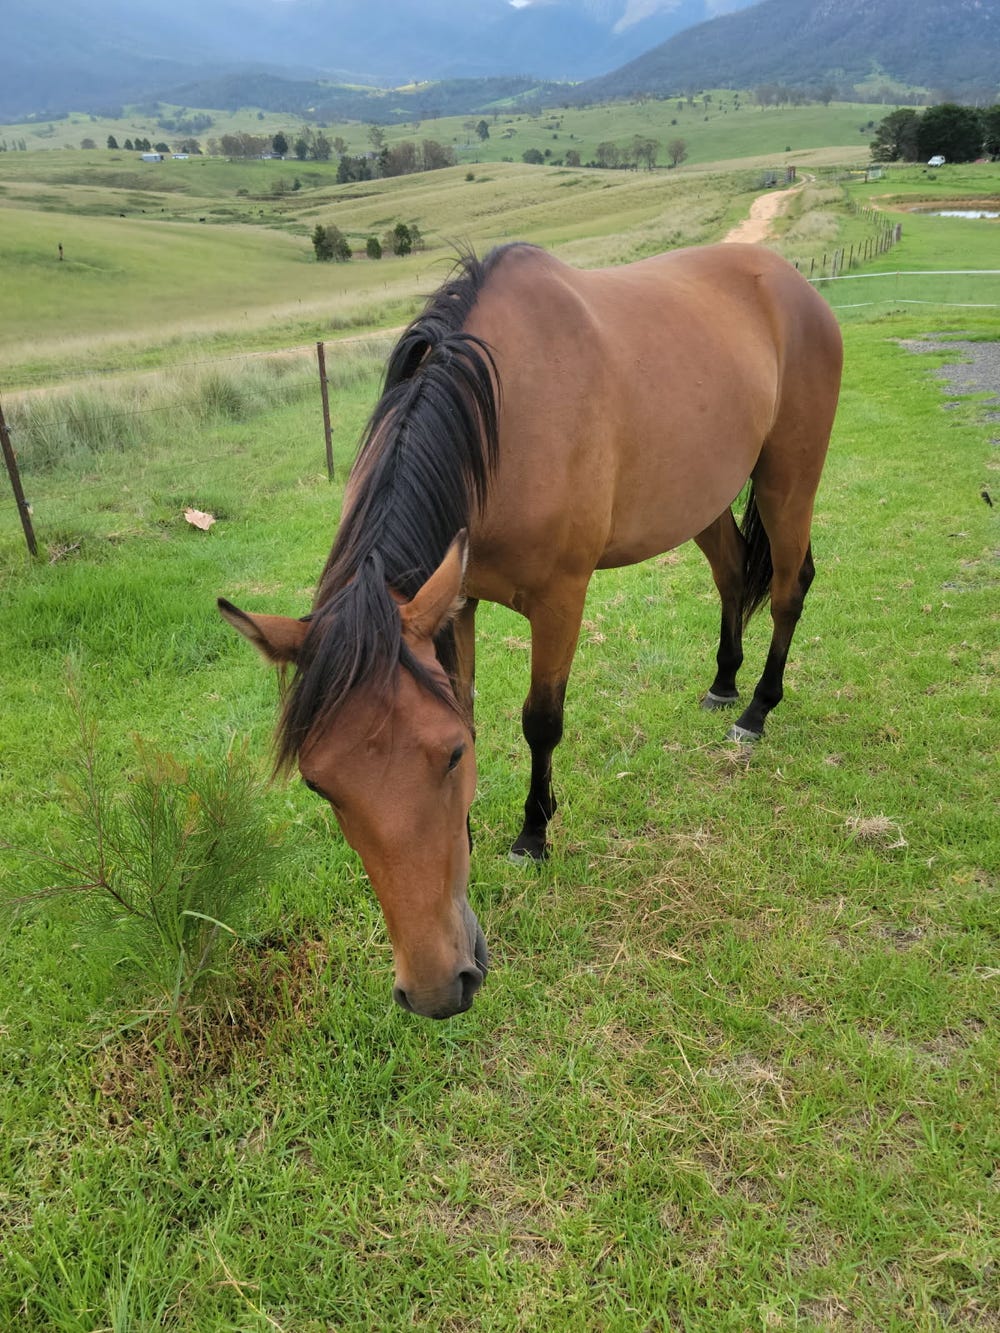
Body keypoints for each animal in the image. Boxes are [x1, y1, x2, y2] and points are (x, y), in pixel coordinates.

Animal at [219, 241, 843, 1020]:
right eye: (318, 785)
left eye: (450, 759)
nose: (436, 988)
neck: (500, 415)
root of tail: (790, 280)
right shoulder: (456, 602)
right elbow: (471, 703)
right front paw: (471, 834)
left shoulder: (559, 600)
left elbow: (540, 721)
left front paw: (532, 833)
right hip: (705, 497)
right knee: (732, 576)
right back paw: (724, 684)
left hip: (790, 480)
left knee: (788, 590)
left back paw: (756, 709)